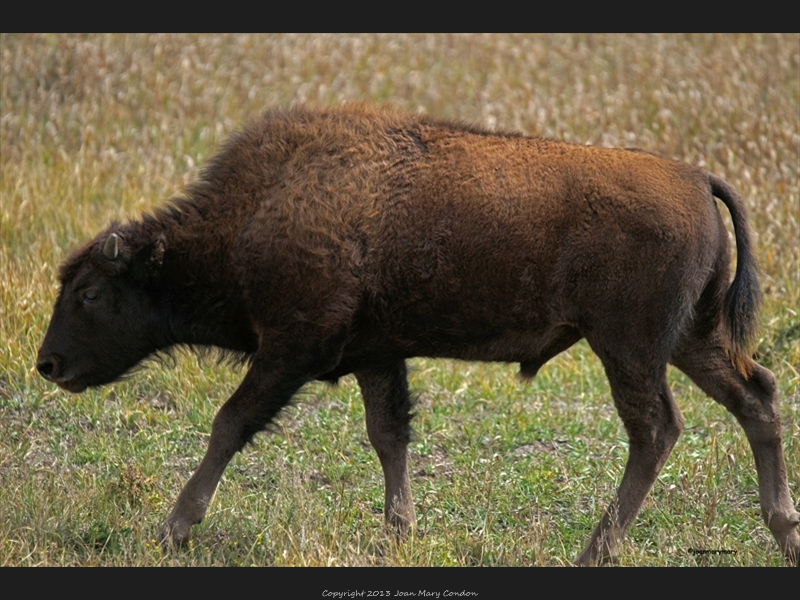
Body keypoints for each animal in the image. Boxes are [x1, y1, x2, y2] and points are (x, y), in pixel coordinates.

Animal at [37, 105, 800, 564]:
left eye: (90, 292)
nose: (48, 364)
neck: (263, 208)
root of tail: (694, 177)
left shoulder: (292, 349)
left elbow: (230, 423)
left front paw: (174, 527)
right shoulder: (377, 355)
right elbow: (389, 436)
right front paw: (399, 533)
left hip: (630, 347)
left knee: (656, 428)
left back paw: (594, 552)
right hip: (690, 339)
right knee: (755, 396)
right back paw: (784, 530)